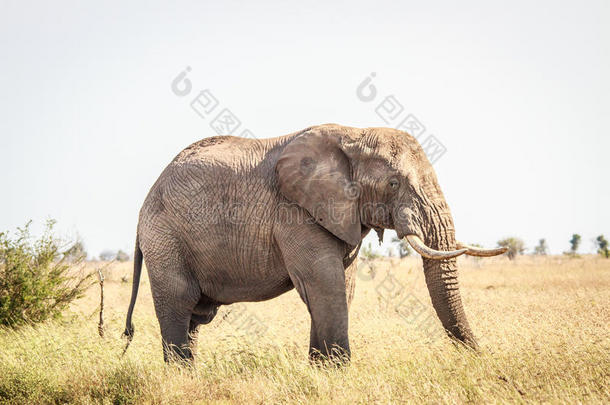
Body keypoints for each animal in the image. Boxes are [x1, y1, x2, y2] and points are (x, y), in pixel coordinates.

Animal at [122, 124, 504, 362]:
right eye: (394, 184)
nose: (484, 357)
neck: (355, 134)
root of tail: (143, 207)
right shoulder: (294, 213)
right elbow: (324, 284)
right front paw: (340, 373)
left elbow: (343, 286)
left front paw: (322, 369)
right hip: (165, 239)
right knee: (179, 306)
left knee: (195, 319)